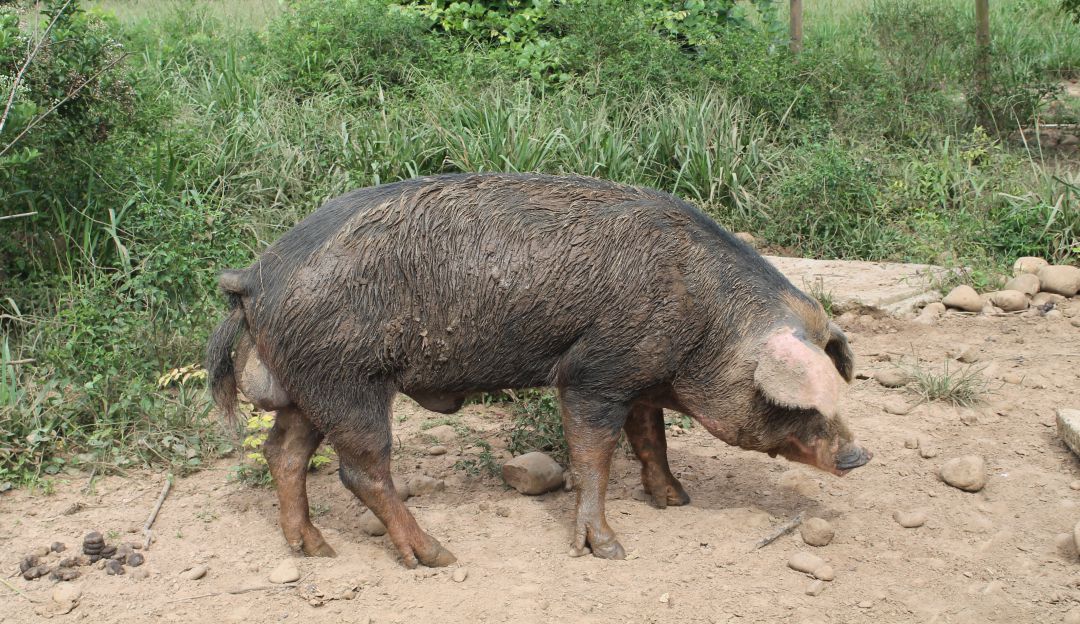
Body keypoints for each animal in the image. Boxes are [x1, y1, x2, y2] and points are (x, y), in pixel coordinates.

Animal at [206, 172, 872, 565]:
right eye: (796, 403)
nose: (859, 455)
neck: (704, 320)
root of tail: (255, 277)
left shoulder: (641, 376)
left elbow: (651, 439)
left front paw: (675, 501)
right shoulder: (594, 371)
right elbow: (594, 455)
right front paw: (609, 551)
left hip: (306, 384)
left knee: (284, 453)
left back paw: (315, 550)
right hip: (348, 381)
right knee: (361, 472)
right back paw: (439, 557)